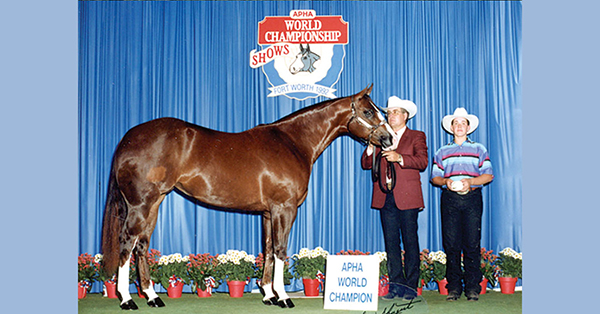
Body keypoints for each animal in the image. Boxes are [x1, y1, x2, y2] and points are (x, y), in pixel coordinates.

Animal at [102, 85, 394, 310]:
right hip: (140, 204)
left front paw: (268, 295)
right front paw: (284, 297)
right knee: (127, 243)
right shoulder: (284, 209)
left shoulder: (267, 213)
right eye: (369, 111)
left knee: (141, 245)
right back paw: (127, 300)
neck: (293, 142)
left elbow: (267, 249)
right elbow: (280, 250)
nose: (389, 138)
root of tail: (129, 139)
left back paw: (152, 297)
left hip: (154, 203)